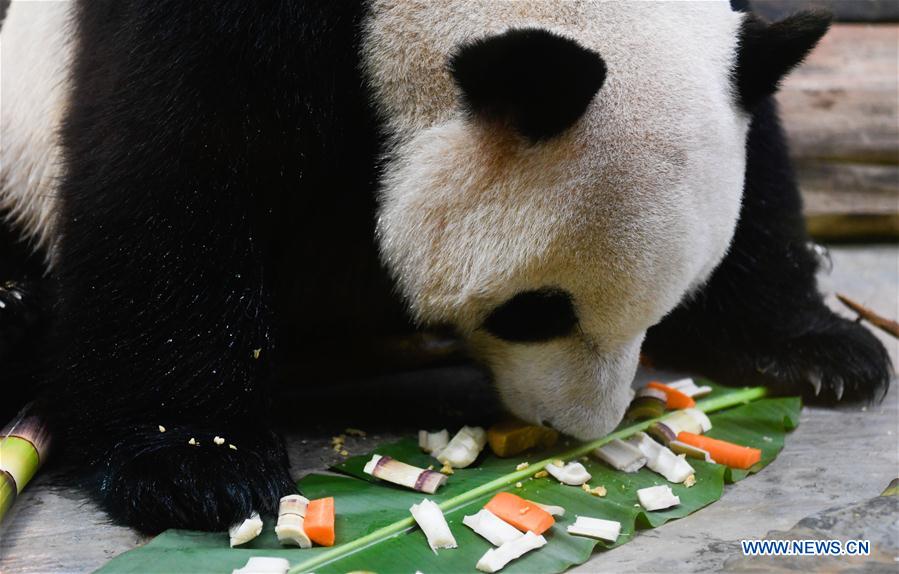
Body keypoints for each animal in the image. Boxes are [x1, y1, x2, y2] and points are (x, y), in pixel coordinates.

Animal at [0, 0, 891, 533]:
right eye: (537, 311)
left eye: (666, 309)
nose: (582, 427)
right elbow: (177, 166)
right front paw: (196, 464)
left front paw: (819, 348)